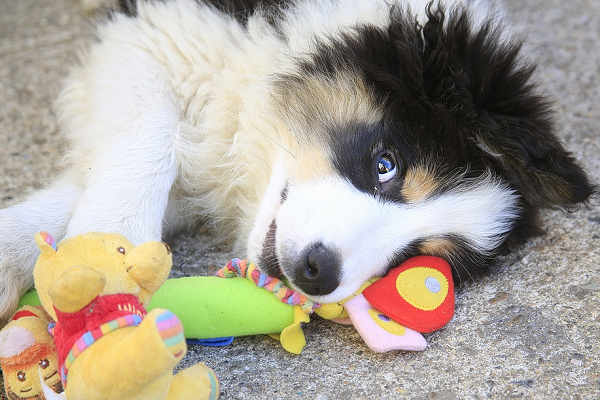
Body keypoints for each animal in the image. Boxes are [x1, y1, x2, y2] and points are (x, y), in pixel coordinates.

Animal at [0, 0, 596, 324]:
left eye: (417, 256)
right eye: (387, 164)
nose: (317, 272)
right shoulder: (157, 30)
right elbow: (151, 137)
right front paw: (108, 253)